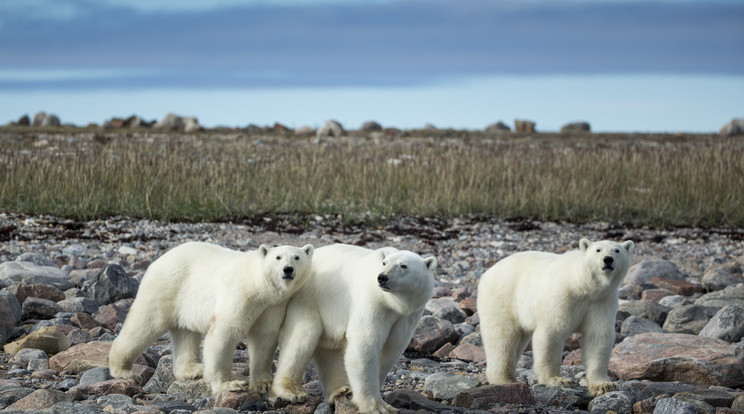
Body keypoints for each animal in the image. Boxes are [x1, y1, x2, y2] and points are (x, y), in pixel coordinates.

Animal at [108, 243, 314, 394]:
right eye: (277, 257)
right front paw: (229, 384)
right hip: (167, 286)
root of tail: (157, 261)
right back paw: (124, 371)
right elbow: (226, 331)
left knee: (185, 333)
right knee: (147, 322)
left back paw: (192, 369)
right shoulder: (240, 294)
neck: (258, 286)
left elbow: (264, 337)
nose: (288, 269)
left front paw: (263, 383)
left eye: (297, 257)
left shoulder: (273, 305)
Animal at [272, 244, 436, 412]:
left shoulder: (409, 315)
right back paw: (292, 391)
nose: (382, 277)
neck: (393, 303)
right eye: (384, 263)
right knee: (302, 337)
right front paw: (377, 407)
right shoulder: (373, 302)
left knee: (331, 351)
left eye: (403, 266)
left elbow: (391, 348)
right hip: (307, 296)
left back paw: (339, 390)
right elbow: (365, 343)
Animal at [476, 238, 632, 396]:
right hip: (502, 297)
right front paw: (558, 380)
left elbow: (597, 336)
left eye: (617, 250)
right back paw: (505, 379)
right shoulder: (561, 295)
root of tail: (487, 273)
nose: (608, 259)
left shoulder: (601, 301)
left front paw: (604, 385)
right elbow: (551, 332)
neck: (582, 285)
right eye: (598, 250)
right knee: (502, 338)